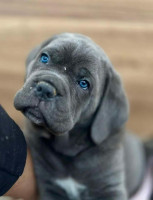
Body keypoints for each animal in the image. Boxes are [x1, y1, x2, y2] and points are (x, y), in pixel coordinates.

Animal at [14, 33, 146, 200]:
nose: (45, 89)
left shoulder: (109, 188)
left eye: (84, 83)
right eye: (44, 58)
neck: (68, 146)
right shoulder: (50, 186)